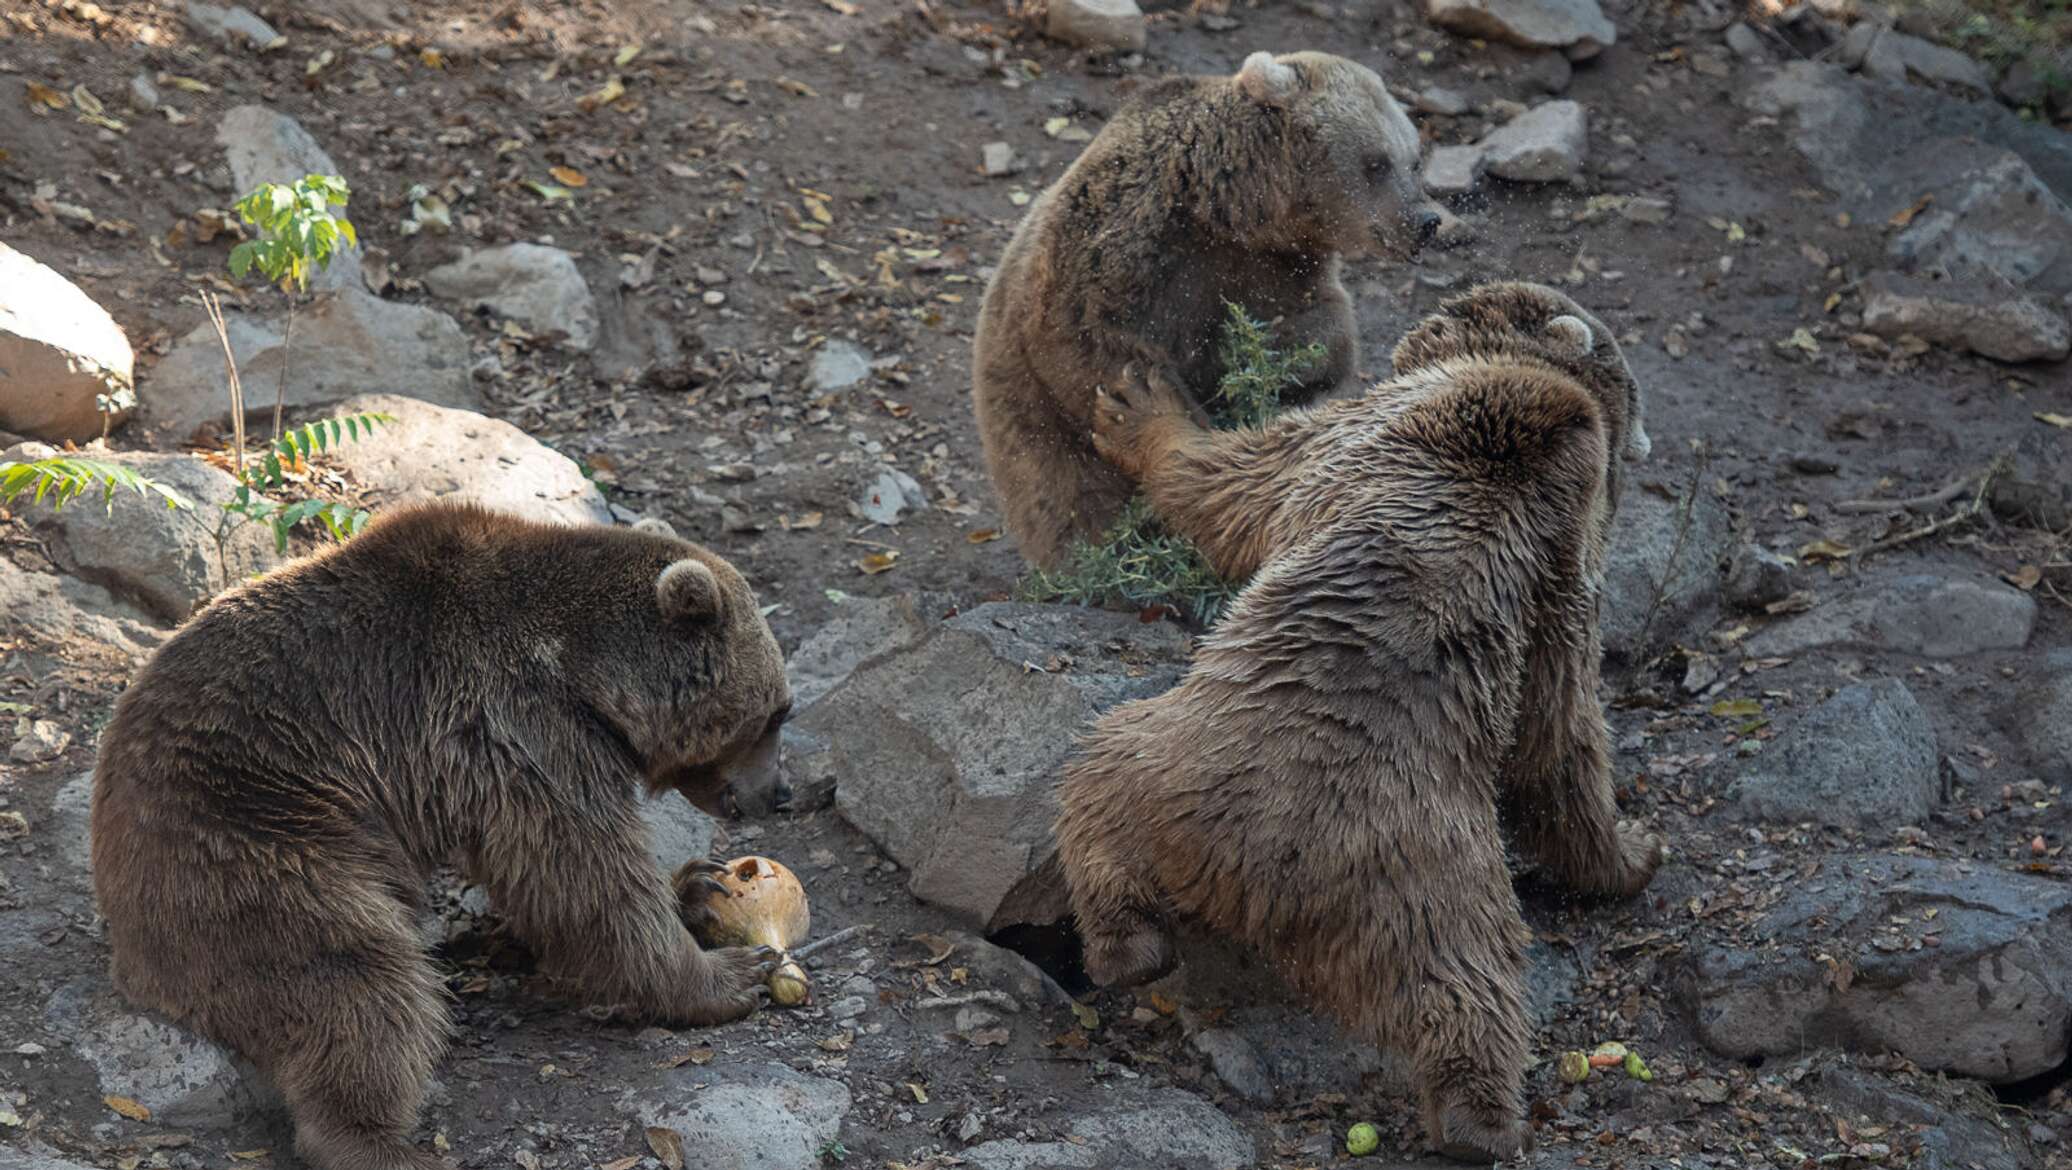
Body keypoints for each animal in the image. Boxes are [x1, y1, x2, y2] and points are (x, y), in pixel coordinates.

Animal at [89, 501, 787, 1167]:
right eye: (776, 714)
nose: (778, 793)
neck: (584, 670)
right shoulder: (515, 723)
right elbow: (582, 872)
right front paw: (732, 974)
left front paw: (698, 884)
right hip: (259, 841)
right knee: (357, 978)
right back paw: (379, 1143)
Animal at [969, 50, 1442, 571]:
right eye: (1376, 162)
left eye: (1414, 160)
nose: (1425, 221)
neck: (1225, 210)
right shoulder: (1118, 244)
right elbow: (1088, 345)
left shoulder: (1274, 269)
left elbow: (1323, 330)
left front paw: (1273, 367)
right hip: (1038, 453)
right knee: (1075, 504)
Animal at [1052, 279, 1665, 1159]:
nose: (1646, 441)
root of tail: (1265, 885)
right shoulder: (1559, 570)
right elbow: (1560, 737)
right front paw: (1632, 848)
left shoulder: (1362, 439)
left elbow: (1234, 483)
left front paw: (1137, 404)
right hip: (1430, 879)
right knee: (1469, 984)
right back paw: (1479, 1120)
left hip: (1191, 773)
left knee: (1090, 788)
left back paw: (1123, 948)